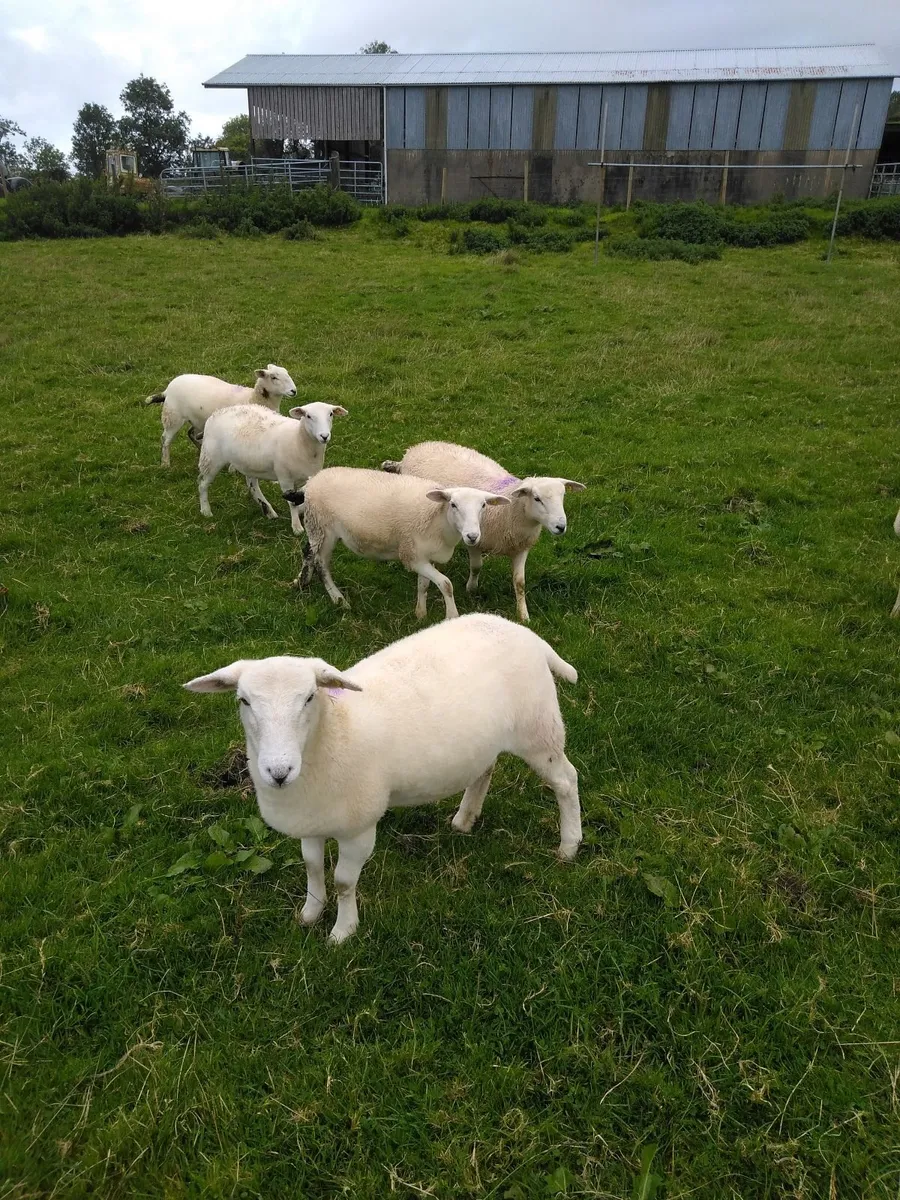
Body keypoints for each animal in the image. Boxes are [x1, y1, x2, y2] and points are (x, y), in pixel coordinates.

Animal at [145, 365, 297, 467]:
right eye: (274, 377)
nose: (294, 391)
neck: (253, 398)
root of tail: (167, 389)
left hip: (197, 419)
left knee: (191, 433)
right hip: (172, 416)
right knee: (166, 439)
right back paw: (165, 464)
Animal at [184, 612, 581, 942]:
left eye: (310, 697)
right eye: (244, 701)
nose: (279, 772)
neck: (333, 732)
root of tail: (527, 634)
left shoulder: (359, 827)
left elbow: (344, 882)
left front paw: (343, 932)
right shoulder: (311, 819)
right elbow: (312, 868)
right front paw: (310, 913)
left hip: (539, 728)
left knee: (566, 780)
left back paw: (569, 845)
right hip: (486, 740)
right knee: (484, 769)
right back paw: (465, 819)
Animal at [198, 402, 347, 534]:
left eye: (331, 414)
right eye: (308, 416)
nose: (324, 436)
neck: (298, 439)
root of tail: (217, 412)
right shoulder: (285, 478)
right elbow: (292, 504)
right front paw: (297, 527)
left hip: (249, 463)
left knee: (252, 484)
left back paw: (268, 510)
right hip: (211, 457)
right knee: (202, 483)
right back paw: (206, 510)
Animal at [294, 466, 510, 619]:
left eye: (483, 505)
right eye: (453, 504)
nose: (472, 536)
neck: (438, 518)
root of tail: (311, 481)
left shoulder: (424, 555)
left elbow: (424, 584)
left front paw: (420, 614)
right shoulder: (411, 556)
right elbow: (446, 584)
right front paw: (452, 616)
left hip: (315, 527)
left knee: (308, 552)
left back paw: (303, 581)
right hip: (323, 527)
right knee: (321, 564)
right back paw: (338, 599)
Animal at [382, 441, 585, 622]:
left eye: (563, 496)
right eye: (537, 498)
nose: (561, 527)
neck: (509, 511)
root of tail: (413, 450)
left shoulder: (521, 547)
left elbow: (520, 583)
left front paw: (523, 615)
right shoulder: (475, 540)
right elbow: (476, 567)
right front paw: (471, 588)